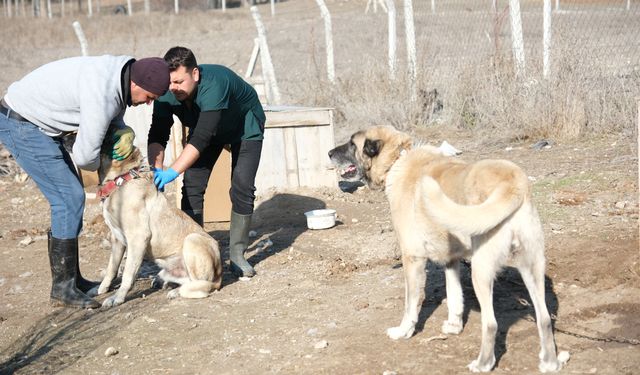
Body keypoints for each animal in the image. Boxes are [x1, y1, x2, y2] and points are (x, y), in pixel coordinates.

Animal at [87, 137, 222, 306]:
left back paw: (178, 291)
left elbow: (128, 274)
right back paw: (172, 288)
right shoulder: (117, 239)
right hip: (167, 270)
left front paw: (117, 297)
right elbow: (112, 268)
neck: (121, 181)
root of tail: (219, 275)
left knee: (204, 285)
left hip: (192, 240)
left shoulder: (138, 238)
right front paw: (102, 288)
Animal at [330, 126, 568, 374]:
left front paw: (403, 331)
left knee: (491, 323)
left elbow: (410, 304)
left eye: (352, 144)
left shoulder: (412, 258)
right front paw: (454, 326)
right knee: (544, 319)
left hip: (481, 270)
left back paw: (483, 363)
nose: (328, 153)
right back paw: (549, 362)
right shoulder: (451, 260)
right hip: (532, 267)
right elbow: (454, 296)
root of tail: (513, 182)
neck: (397, 158)